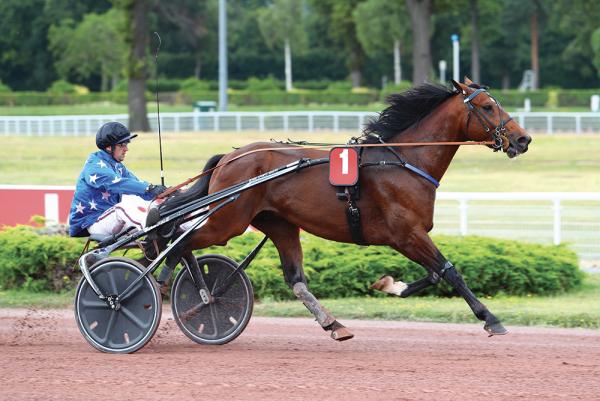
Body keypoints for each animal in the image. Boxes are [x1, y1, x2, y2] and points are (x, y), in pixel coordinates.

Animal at [159, 79, 528, 340]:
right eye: (487, 106)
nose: (523, 140)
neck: (404, 161)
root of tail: (229, 157)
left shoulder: (409, 236)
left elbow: (435, 273)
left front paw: (389, 285)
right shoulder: (406, 233)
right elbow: (450, 271)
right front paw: (491, 319)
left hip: (279, 224)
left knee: (295, 280)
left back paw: (334, 324)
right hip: (227, 221)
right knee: (179, 242)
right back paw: (169, 287)